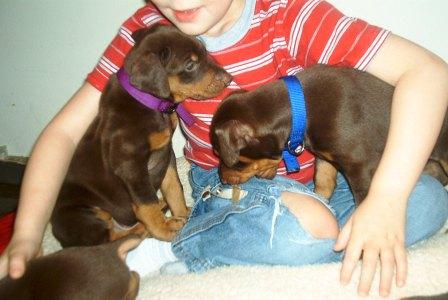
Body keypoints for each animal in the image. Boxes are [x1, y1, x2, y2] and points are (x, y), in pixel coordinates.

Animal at [51, 25, 231, 246]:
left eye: (204, 51)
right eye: (190, 65)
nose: (228, 79)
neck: (150, 103)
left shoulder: (165, 154)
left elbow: (174, 188)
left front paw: (184, 214)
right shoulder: (130, 164)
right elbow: (146, 203)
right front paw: (164, 229)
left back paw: (161, 207)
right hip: (80, 213)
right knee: (109, 237)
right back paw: (143, 229)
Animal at [211, 64, 448, 205]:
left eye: (236, 162)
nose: (222, 179)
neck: (301, 109)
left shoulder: (360, 167)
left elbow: (362, 202)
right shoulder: (326, 157)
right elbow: (323, 182)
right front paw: (322, 204)